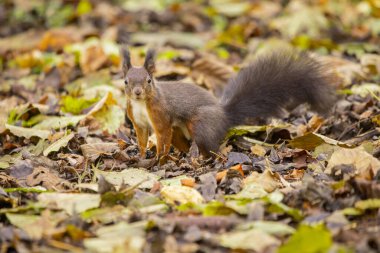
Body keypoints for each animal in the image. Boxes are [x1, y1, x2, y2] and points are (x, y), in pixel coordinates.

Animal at [121, 47, 336, 158]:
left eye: (149, 80)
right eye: (125, 81)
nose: (137, 92)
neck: (141, 104)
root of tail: (224, 115)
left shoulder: (161, 115)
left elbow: (162, 137)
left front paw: (160, 160)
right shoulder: (138, 122)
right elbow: (142, 139)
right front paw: (141, 157)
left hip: (201, 123)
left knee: (211, 148)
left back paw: (201, 158)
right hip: (181, 130)